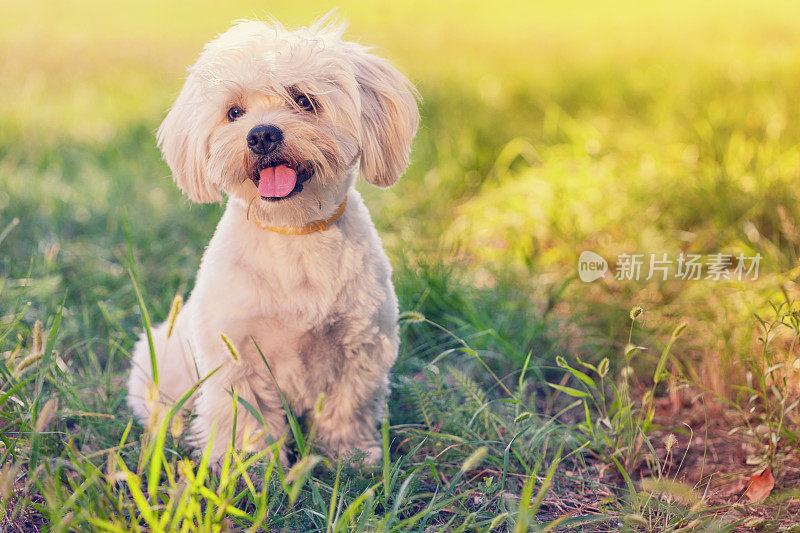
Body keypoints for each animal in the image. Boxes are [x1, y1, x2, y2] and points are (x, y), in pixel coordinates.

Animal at [126, 18, 418, 464]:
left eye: (304, 100)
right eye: (233, 112)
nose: (262, 134)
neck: (294, 233)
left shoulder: (360, 345)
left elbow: (347, 406)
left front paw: (350, 455)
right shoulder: (237, 353)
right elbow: (246, 416)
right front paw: (245, 463)